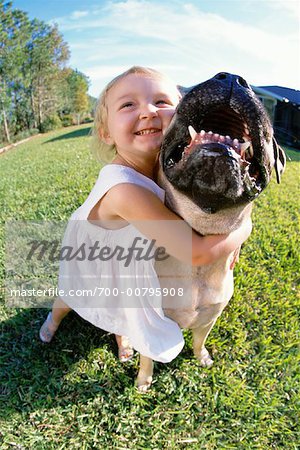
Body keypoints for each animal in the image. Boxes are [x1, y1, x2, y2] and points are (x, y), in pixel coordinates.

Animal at [136, 72, 286, 388]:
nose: (232, 78)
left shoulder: (209, 317)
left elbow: (198, 340)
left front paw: (201, 357)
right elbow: (148, 356)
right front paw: (144, 380)